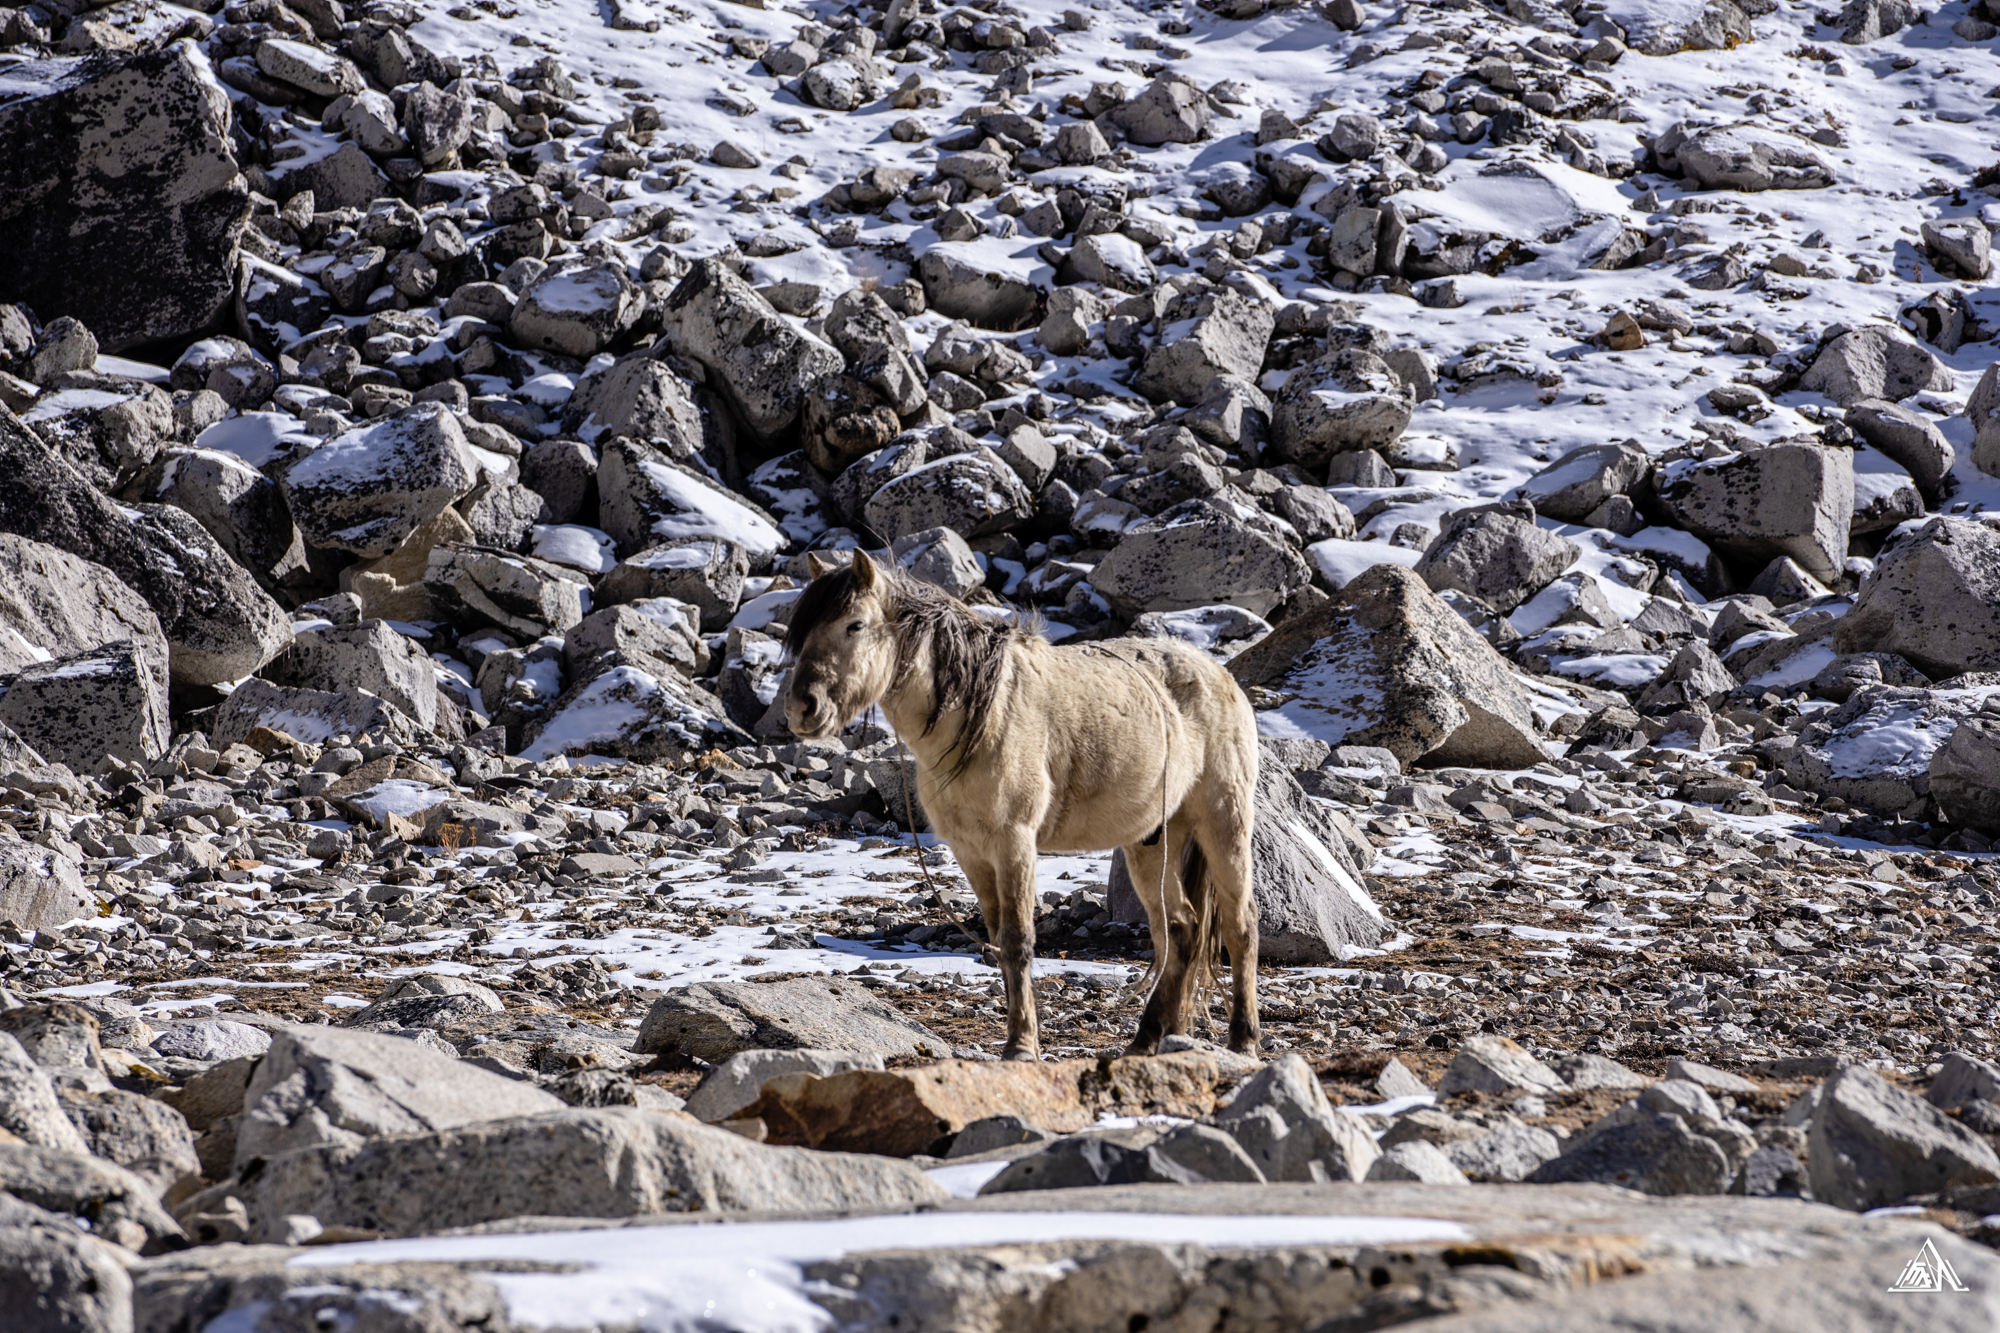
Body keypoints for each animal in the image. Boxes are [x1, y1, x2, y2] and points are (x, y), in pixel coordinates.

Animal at [776, 548, 1256, 1056]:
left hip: (1223, 822)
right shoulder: (970, 851)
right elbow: (997, 938)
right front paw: (1017, 1038)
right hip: (1154, 839)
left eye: (855, 625)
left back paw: (1243, 1040)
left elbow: (1019, 940)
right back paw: (1146, 1040)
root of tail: (1221, 675)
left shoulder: (1015, 842)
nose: (801, 708)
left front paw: (1023, 1044)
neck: (981, 717)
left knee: (1240, 926)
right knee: (1181, 929)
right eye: (803, 631)